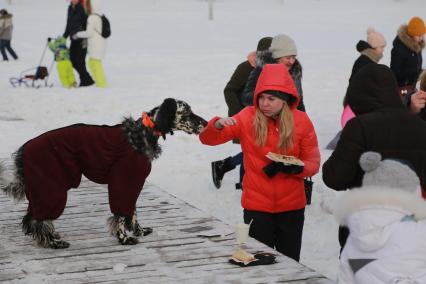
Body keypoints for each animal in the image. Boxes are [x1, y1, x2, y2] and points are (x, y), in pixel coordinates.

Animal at [0, 98, 206, 250]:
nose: (205, 123)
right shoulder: (124, 180)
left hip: (44, 188)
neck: (142, 134)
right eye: (187, 112)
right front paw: (124, 238)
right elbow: (121, 215)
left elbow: (132, 211)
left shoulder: (133, 182)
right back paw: (54, 242)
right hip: (51, 188)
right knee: (36, 219)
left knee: (31, 218)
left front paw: (139, 231)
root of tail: (23, 150)